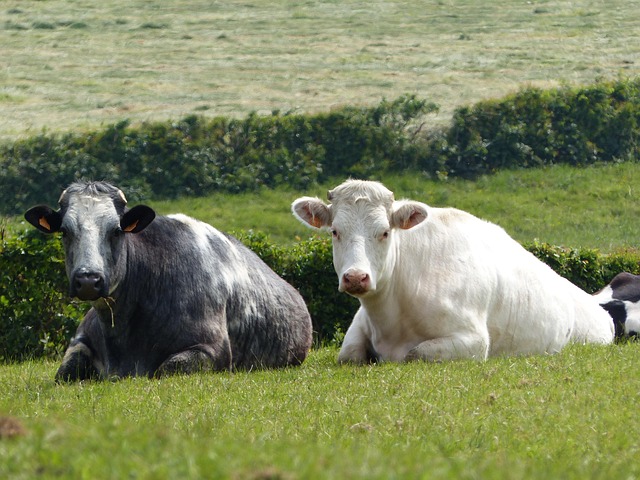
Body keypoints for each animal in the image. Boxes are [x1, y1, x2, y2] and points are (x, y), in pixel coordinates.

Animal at [25, 181, 312, 381]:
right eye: (64, 231)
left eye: (116, 231)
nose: (88, 280)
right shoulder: (80, 341)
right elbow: (64, 372)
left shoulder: (213, 350)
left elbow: (167, 368)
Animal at [292, 179, 614, 364]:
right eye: (335, 231)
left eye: (384, 232)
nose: (356, 277)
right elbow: (347, 355)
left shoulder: (474, 340)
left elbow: (416, 353)